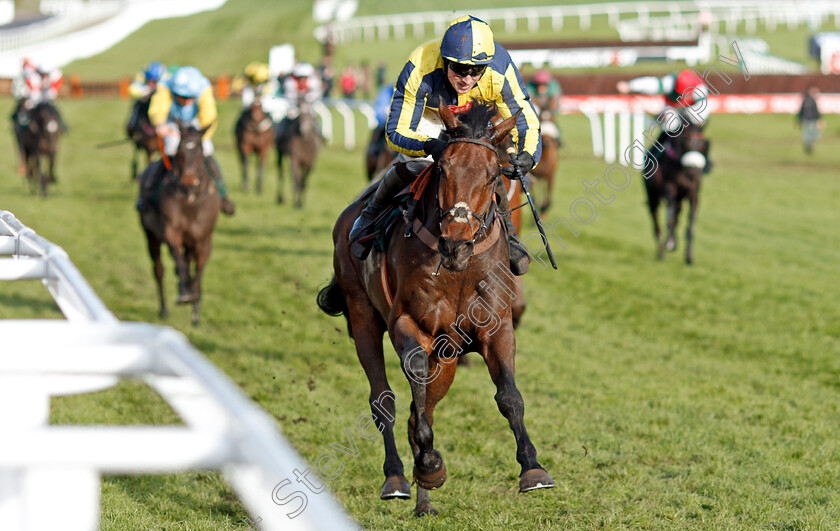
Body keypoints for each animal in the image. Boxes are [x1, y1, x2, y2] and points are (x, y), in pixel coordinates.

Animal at [136, 122, 220, 326]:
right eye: (180, 152)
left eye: (199, 152)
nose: (187, 185)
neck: (191, 204)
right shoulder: (171, 231)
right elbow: (180, 261)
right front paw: (184, 293)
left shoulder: (204, 238)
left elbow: (198, 271)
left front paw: (195, 312)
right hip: (151, 235)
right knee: (159, 269)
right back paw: (164, 308)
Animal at [316, 102, 552, 516]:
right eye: (443, 168)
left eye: (495, 176)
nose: (455, 243)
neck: (459, 270)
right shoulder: (409, 324)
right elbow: (411, 381)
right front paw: (427, 465)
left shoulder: (495, 329)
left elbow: (509, 396)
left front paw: (532, 468)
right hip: (362, 316)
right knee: (384, 401)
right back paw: (397, 478)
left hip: (449, 357)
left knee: (418, 411)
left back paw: (424, 496)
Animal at [644, 124, 708, 266]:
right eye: (687, 140)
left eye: (701, 143)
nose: (693, 169)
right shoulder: (670, 188)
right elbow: (670, 218)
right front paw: (670, 243)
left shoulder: (694, 194)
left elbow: (690, 225)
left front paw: (689, 257)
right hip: (653, 197)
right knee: (656, 223)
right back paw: (662, 251)